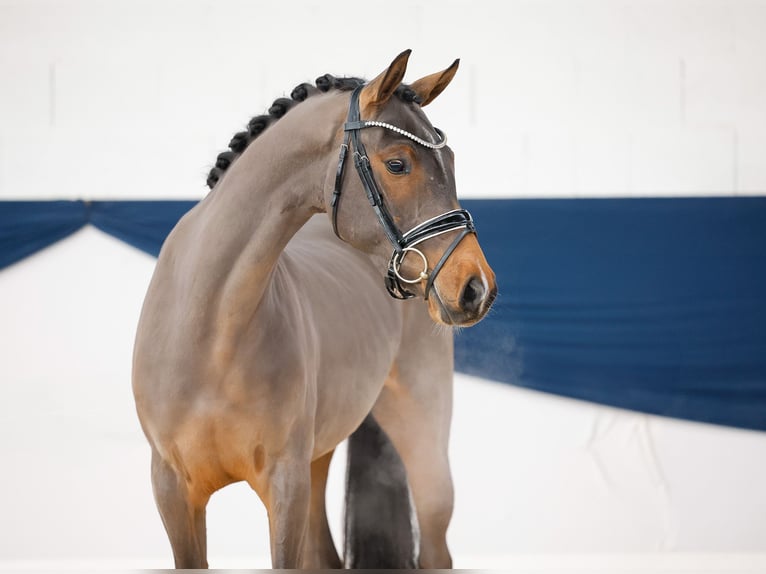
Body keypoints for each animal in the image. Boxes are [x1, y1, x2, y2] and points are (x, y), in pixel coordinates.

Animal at [134, 50, 498, 572]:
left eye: (449, 161)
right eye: (397, 164)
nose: (475, 287)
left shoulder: (285, 486)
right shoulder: (173, 492)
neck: (212, 328)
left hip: (422, 440)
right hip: (318, 458)